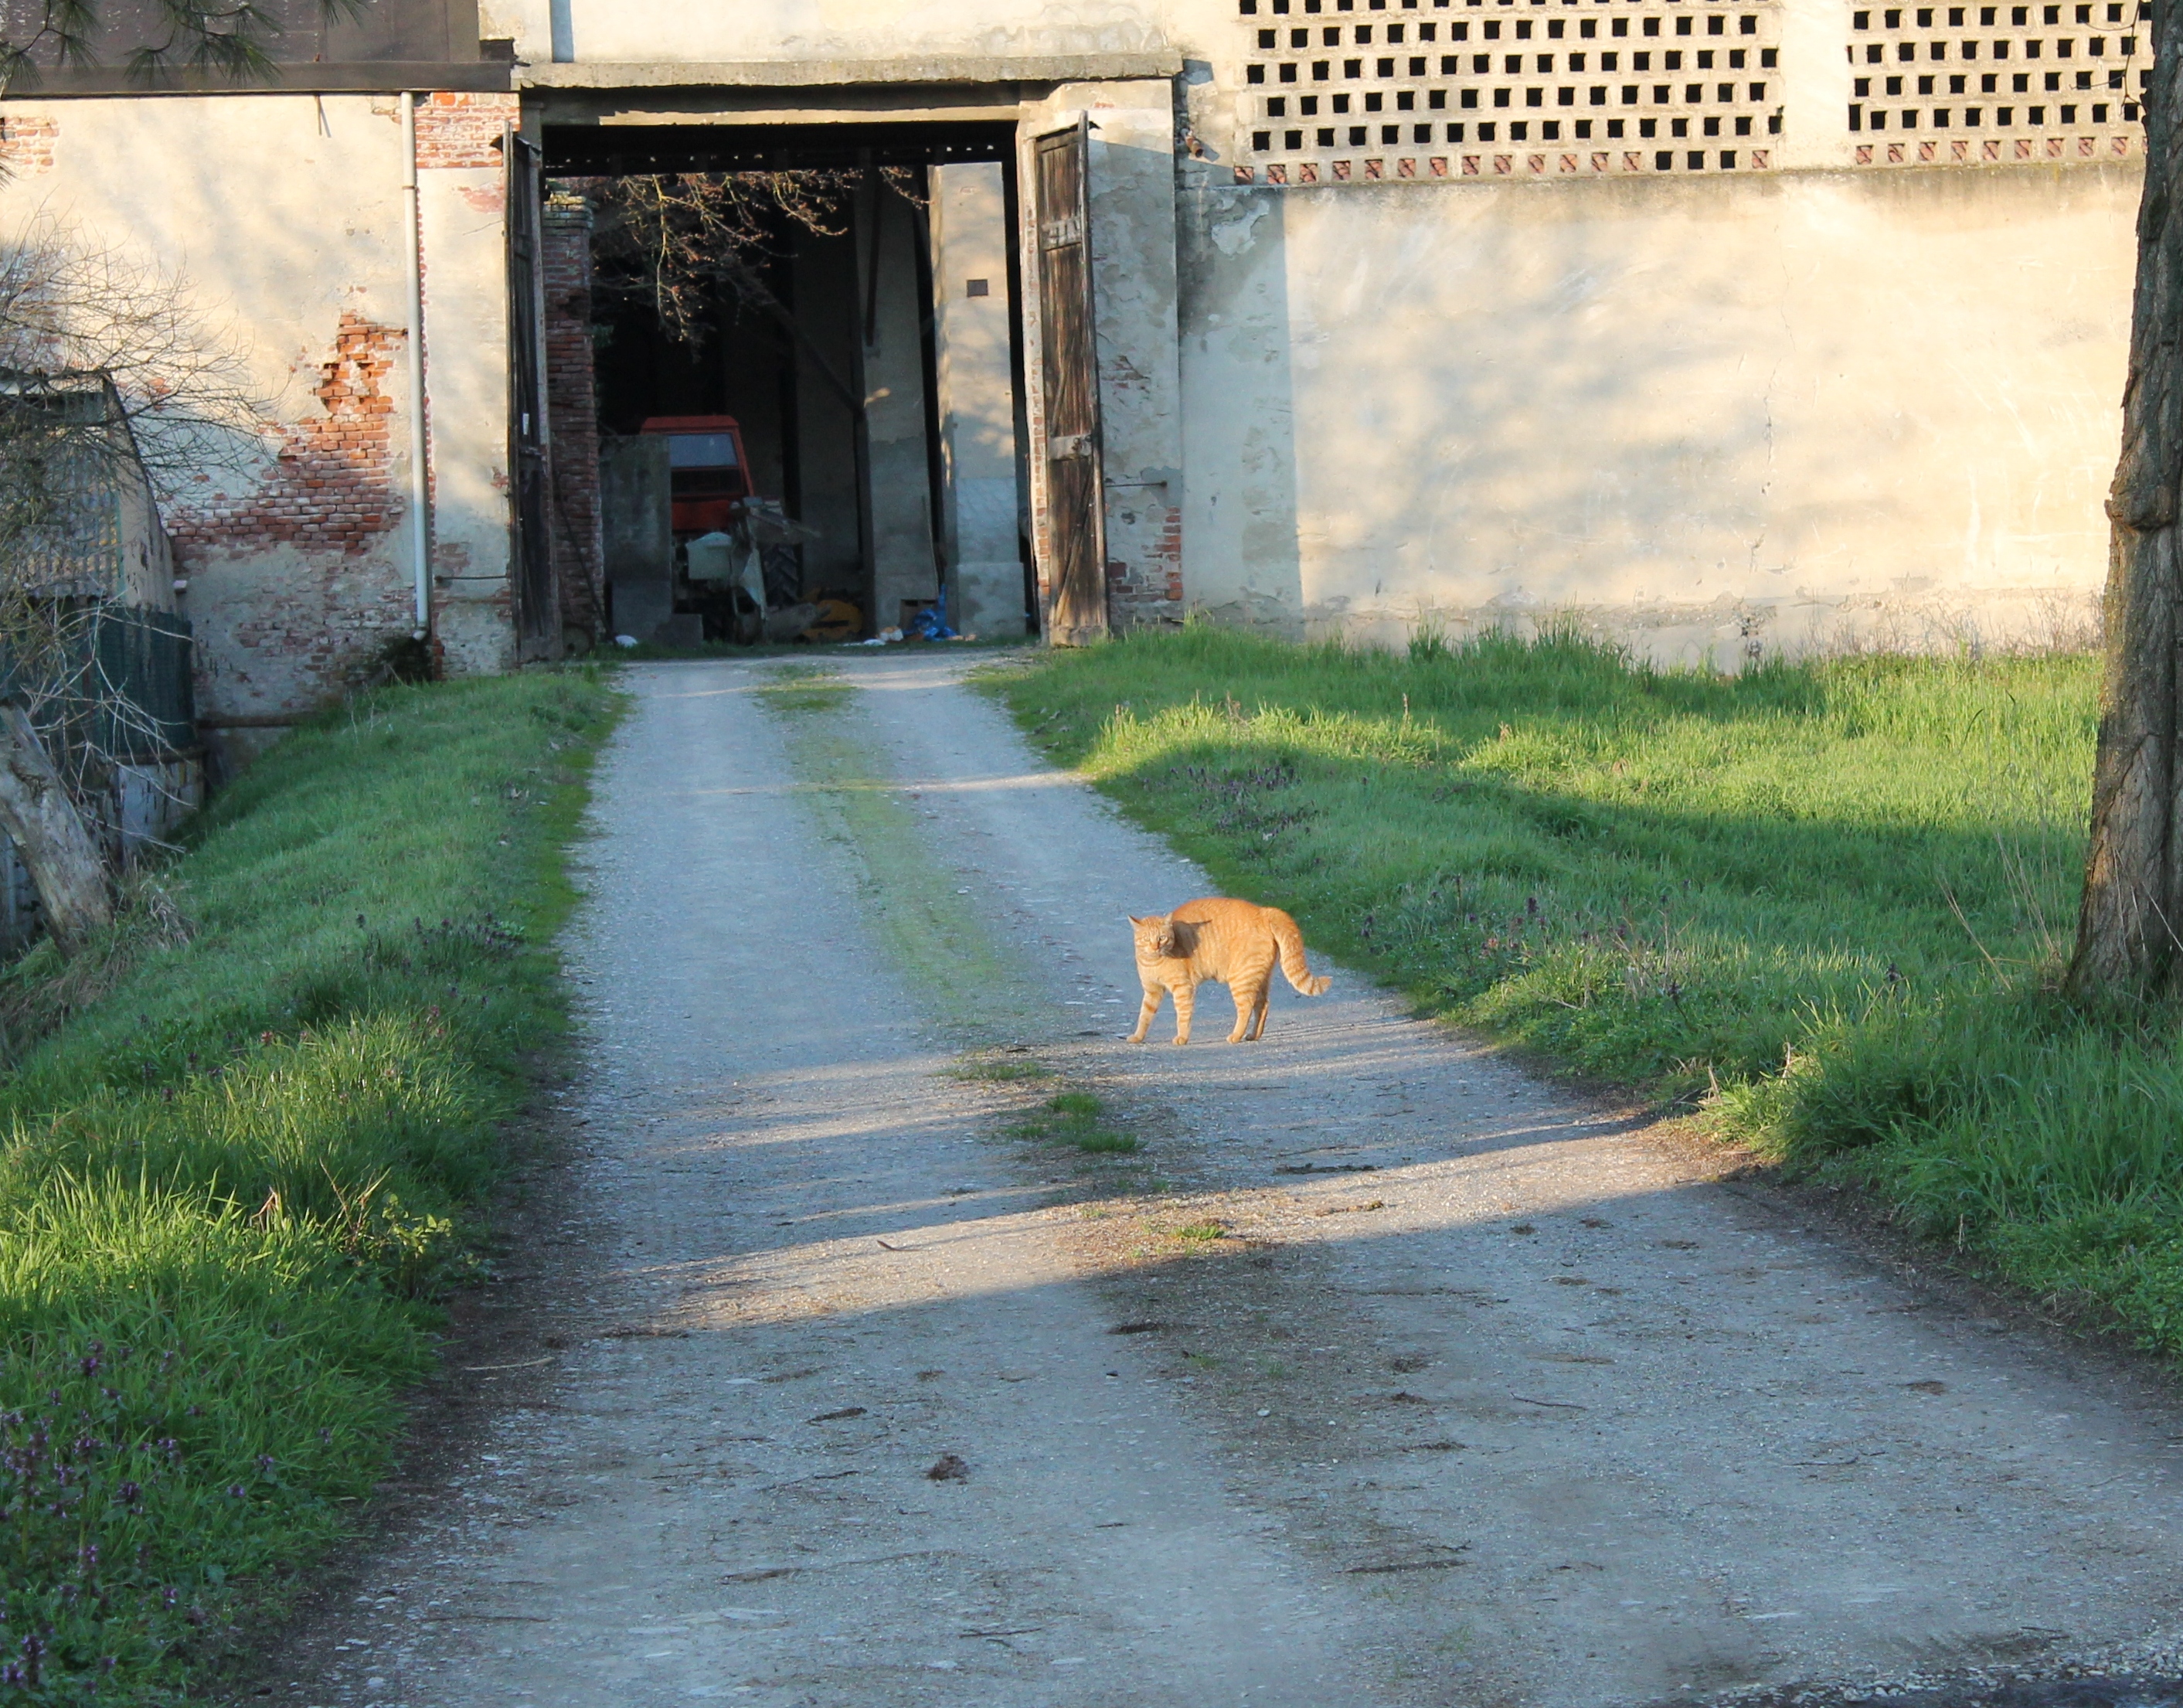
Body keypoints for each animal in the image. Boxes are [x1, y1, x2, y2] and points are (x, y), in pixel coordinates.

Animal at [1126, 904, 1327, 1048]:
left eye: (1162, 938)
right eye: (1146, 939)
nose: (1155, 947)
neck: (1153, 962)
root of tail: (1263, 911)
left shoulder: (1183, 988)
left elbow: (1183, 1016)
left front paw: (1182, 1037)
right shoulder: (1152, 991)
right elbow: (1145, 1015)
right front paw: (1138, 1037)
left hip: (1241, 979)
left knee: (1246, 1007)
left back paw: (1236, 1036)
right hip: (1260, 978)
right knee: (1263, 1005)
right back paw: (1253, 1035)